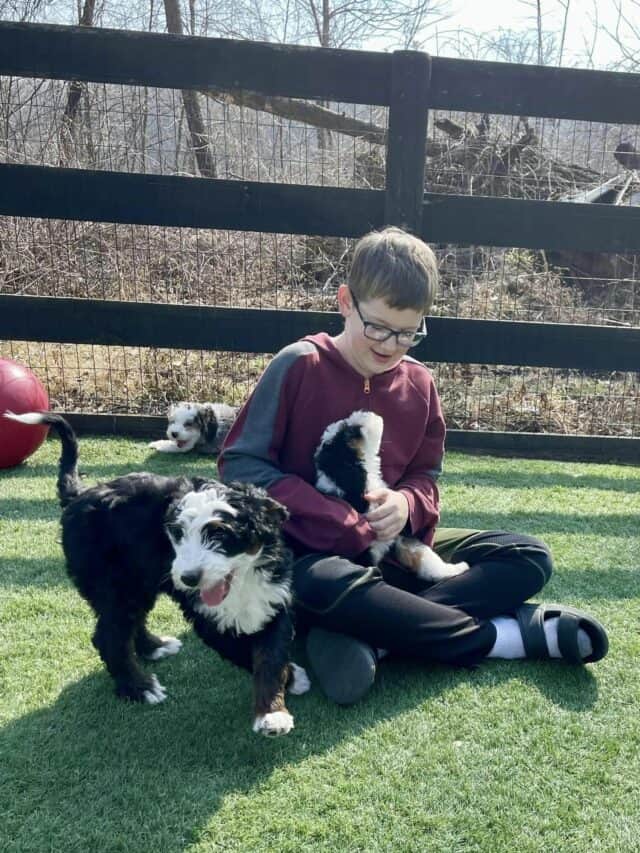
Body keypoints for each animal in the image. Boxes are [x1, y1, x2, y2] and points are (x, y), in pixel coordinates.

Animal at [5, 412, 310, 732]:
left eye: (220, 534)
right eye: (177, 533)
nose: (188, 579)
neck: (241, 580)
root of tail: (80, 494)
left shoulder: (272, 597)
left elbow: (269, 657)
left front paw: (273, 709)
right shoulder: (207, 617)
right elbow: (243, 652)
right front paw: (284, 690)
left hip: (136, 582)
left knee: (129, 623)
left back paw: (154, 647)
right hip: (113, 583)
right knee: (109, 635)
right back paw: (139, 687)